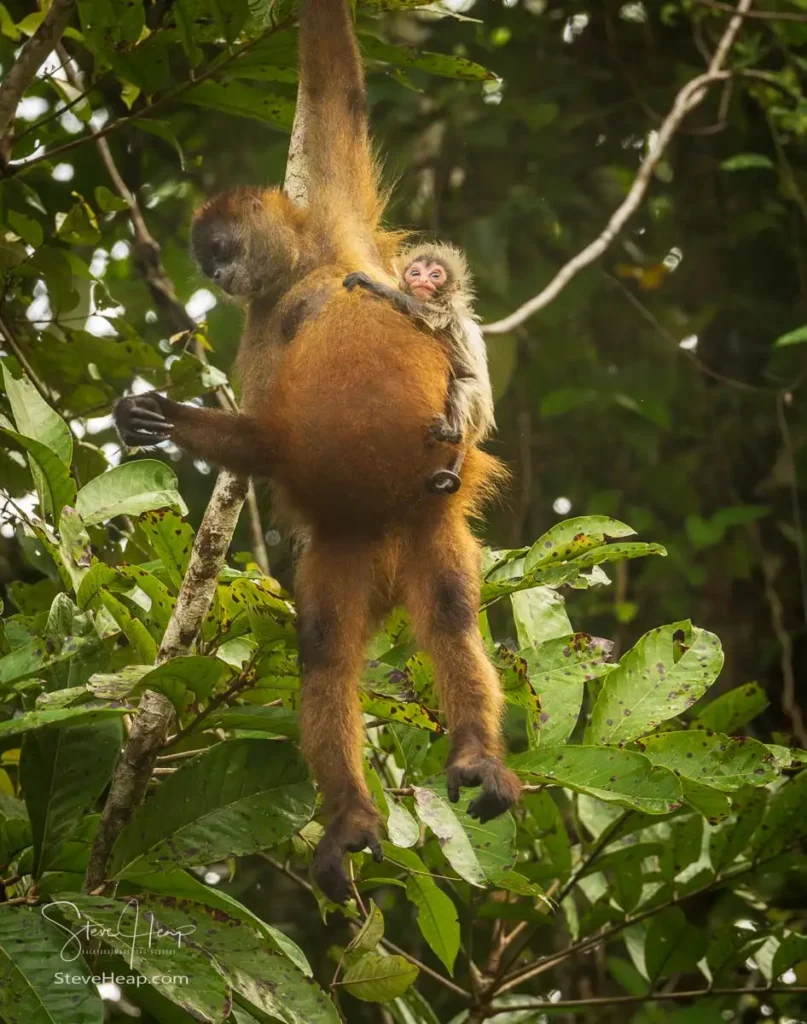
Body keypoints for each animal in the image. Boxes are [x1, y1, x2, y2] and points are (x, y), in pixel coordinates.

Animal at [343, 242, 494, 496]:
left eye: (435, 275)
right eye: (416, 272)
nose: (422, 280)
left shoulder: (444, 310)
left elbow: (427, 313)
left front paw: (373, 285)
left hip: (478, 403)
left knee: (463, 385)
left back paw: (453, 433)